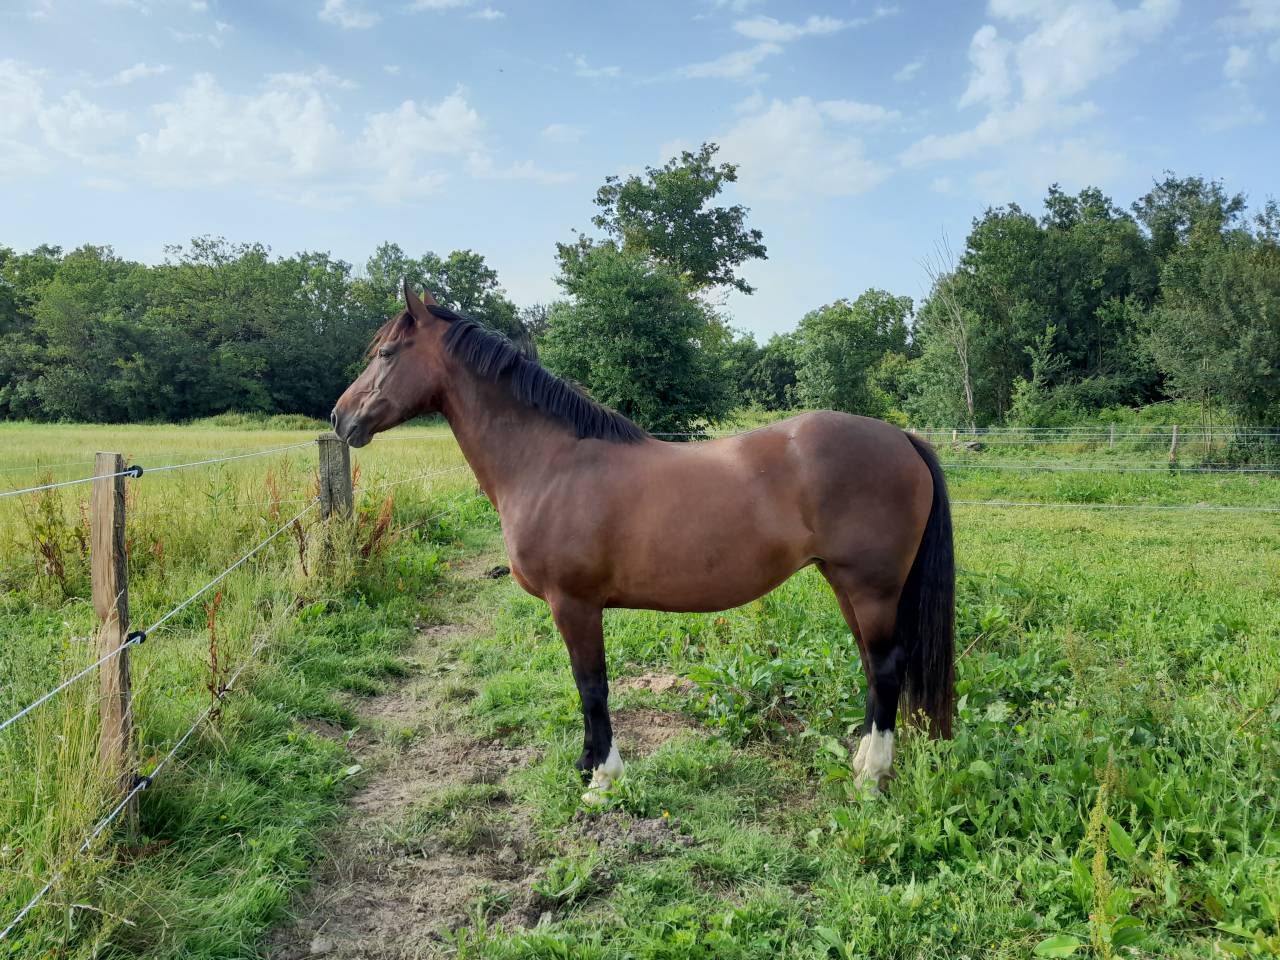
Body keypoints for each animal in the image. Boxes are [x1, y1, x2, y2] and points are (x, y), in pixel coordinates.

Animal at [332, 282, 955, 803]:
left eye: (387, 354)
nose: (340, 418)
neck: (549, 464)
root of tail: (901, 436)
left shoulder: (574, 605)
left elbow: (592, 686)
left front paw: (601, 780)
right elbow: (586, 687)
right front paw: (587, 765)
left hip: (870, 587)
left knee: (885, 667)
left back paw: (871, 779)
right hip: (845, 584)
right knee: (873, 668)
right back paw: (863, 765)